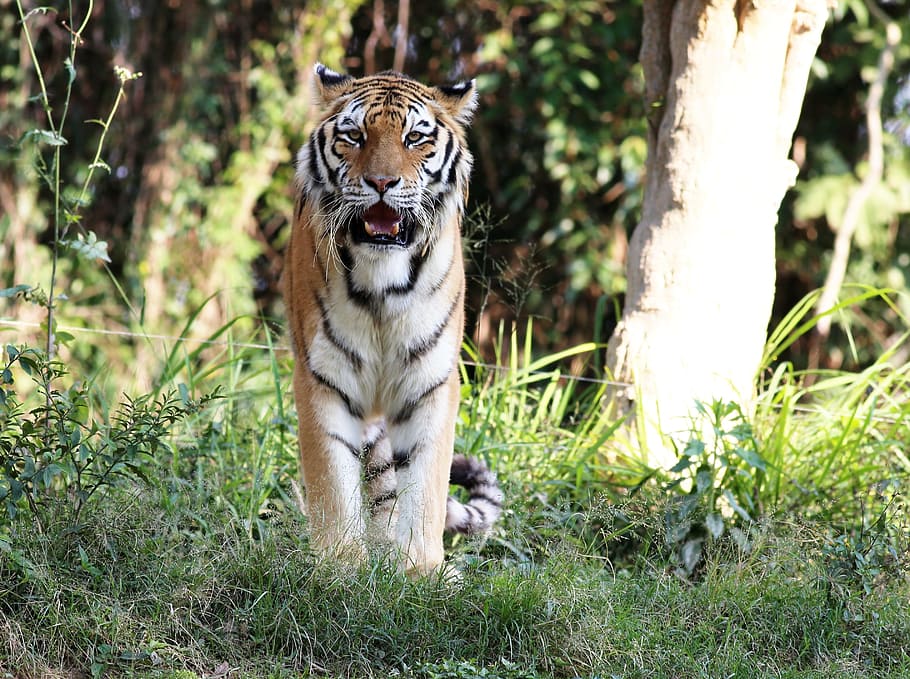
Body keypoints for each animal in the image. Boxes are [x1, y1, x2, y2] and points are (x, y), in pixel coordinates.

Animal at [282, 64, 503, 576]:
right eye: (354, 135)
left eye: (414, 138)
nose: (381, 182)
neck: (382, 279)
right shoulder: (322, 377)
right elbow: (333, 482)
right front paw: (340, 567)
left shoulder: (430, 380)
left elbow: (425, 484)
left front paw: (421, 570)